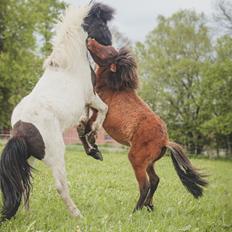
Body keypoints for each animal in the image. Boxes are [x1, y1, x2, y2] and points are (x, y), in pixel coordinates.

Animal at [0, 3, 115, 221]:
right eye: (103, 24)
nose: (110, 42)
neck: (68, 63)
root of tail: (20, 130)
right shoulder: (91, 96)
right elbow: (103, 111)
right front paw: (94, 138)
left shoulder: (85, 103)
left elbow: (83, 123)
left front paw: (93, 148)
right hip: (56, 154)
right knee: (60, 186)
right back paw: (77, 214)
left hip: (28, 157)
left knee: (22, 181)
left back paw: (25, 213)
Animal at [78, 38, 208, 212]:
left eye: (109, 52)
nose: (90, 40)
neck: (112, 88)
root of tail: (165, 141)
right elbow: (83, 129)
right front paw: (95, 150)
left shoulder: (97, 112)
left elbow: (84, 130)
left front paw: (94, 151)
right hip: (149, 163)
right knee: (155, 180)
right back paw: (149, 205)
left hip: (137, 160)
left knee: (145, 184)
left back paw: (135, 211)